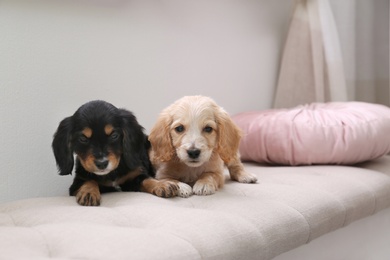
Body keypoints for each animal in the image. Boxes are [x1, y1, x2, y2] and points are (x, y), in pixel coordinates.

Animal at [52, 100, 180, 206]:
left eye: (114, 135)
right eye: (83, 138)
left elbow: (146, 179)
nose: (102, 163)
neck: (111, 174)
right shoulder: (77, 182)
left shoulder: (134, 177)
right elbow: (89, 181)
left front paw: (162, 185)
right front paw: (88, 193)